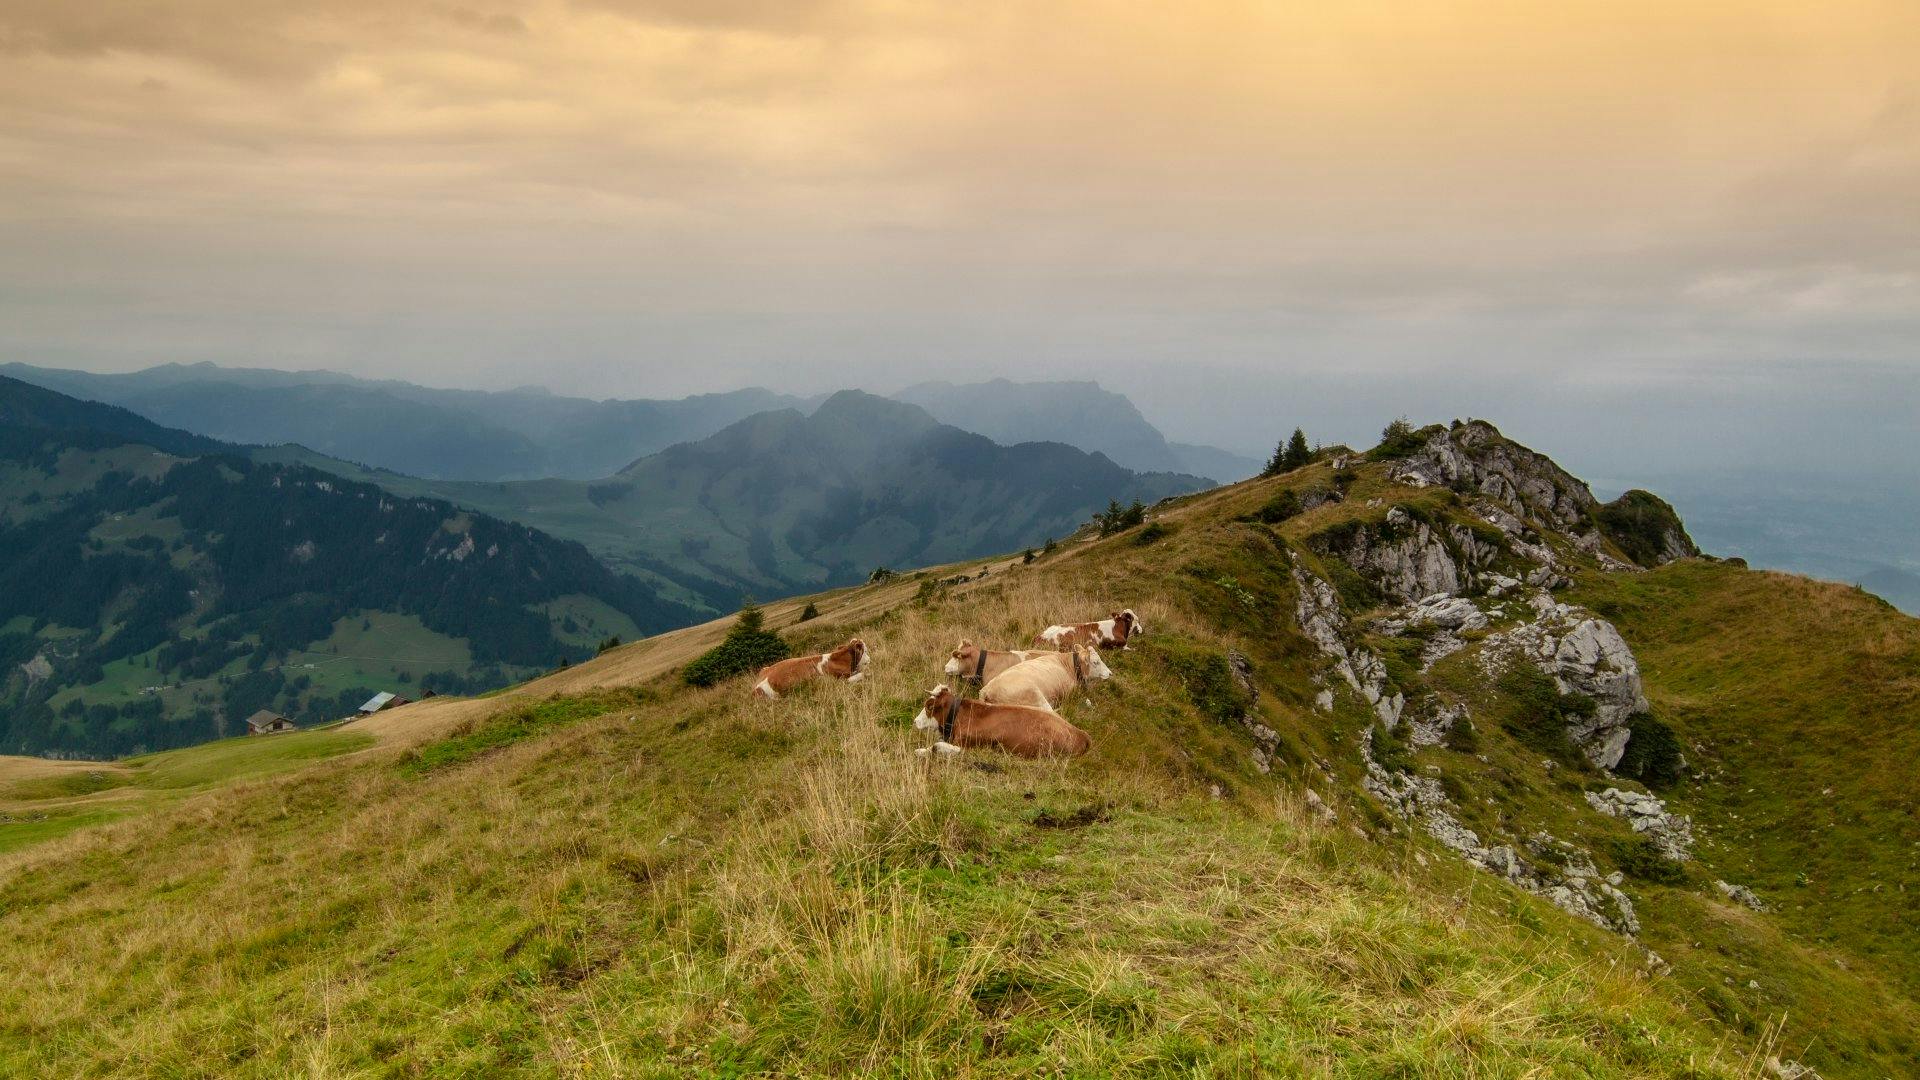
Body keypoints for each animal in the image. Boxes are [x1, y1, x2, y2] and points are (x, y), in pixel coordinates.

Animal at [911, 684, 1091, 759]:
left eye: (928, 706)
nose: (915, 721)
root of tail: (1081, 734)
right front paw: (920, 751)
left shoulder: (969, 745)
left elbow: (936, 746)